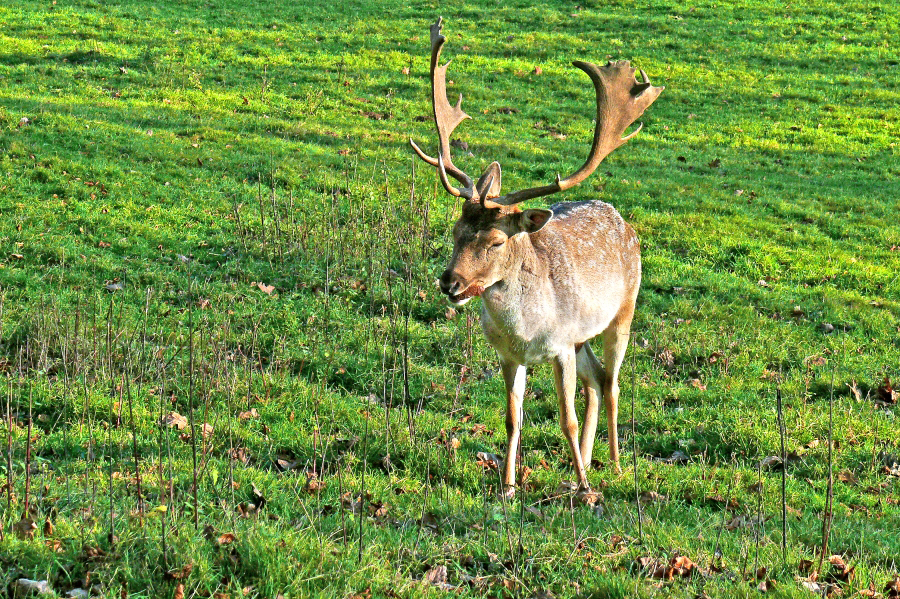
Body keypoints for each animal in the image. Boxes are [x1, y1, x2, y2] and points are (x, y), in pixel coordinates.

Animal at [412, 18, 664, 496]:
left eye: (495, 241)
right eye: (454, 231)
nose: (449, 282)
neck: (525, 331)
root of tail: (622, 219)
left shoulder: (560, 346)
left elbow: (565, 419)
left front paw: (584, 489)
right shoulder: (509, 355)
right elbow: (513, 419)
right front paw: (508, 486)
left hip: (623, 312)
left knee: (612, 382)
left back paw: (613, 464)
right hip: (583, 333)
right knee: (596, 379)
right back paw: (586, 460)